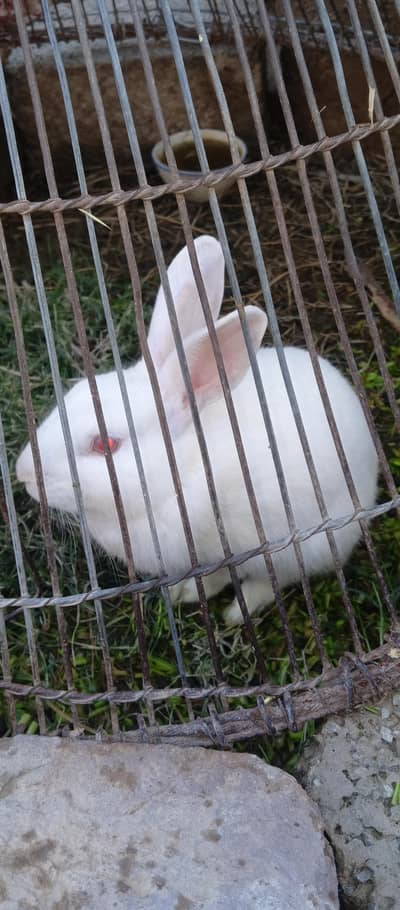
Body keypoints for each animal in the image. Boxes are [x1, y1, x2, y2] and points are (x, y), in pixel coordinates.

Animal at [16, 235, 378, 624]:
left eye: (106, 444)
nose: (23, 473)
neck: (179, 474)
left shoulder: (228, 550)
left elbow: (225, 575)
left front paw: (190, 594)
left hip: (308, 544)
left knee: (278, 579)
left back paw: (238, 612)